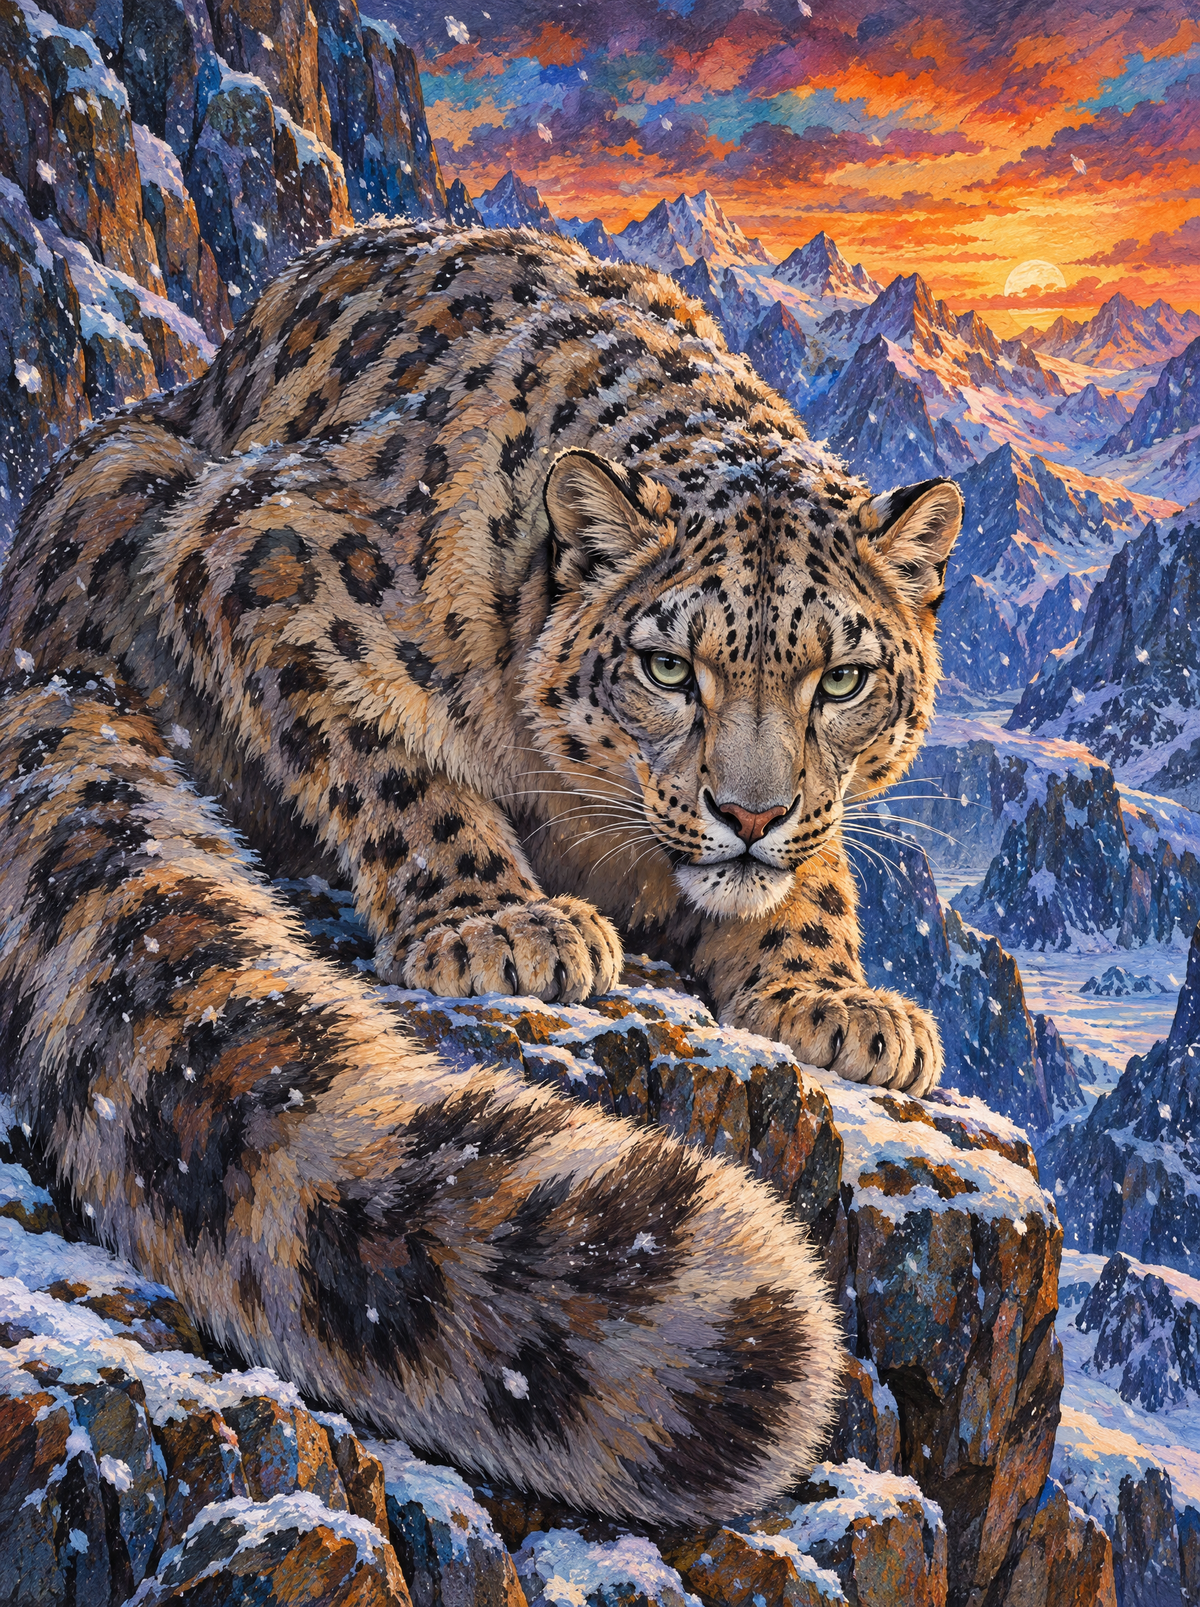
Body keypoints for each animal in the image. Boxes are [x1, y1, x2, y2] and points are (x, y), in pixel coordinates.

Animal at [0, 221, 960, 1526]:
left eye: (843, 678)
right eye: (668, 666)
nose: (751, 812)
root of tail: (34, 652)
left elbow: (817, 876)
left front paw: (833, 998)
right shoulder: (263, 550)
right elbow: (388, 753)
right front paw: (499, 921)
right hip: (132, 500)